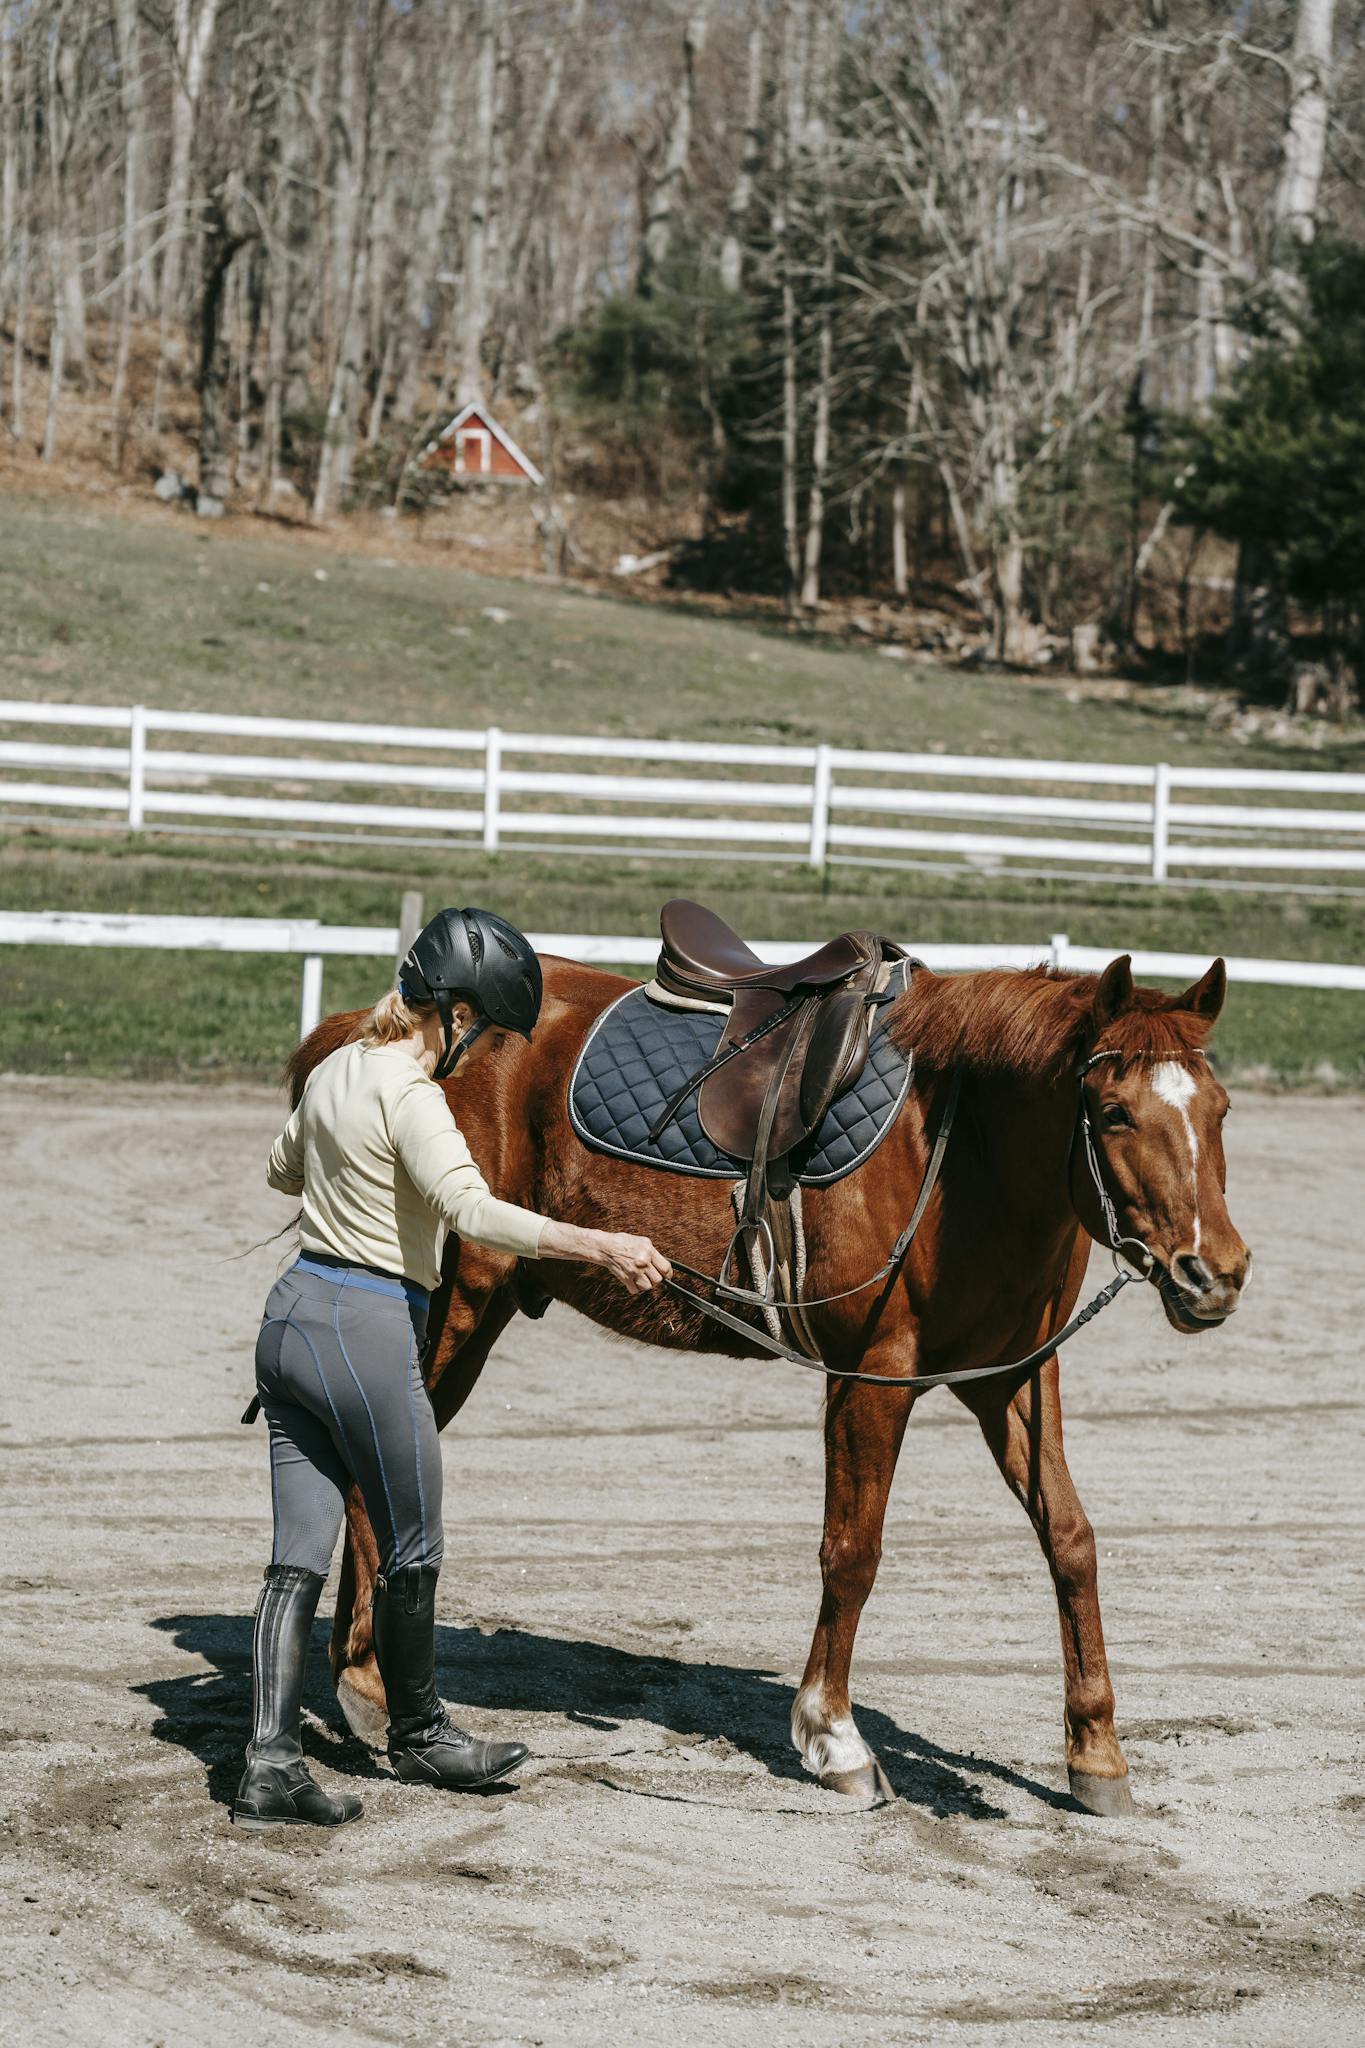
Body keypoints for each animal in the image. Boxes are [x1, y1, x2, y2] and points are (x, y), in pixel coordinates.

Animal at [284, 946, 1250, 1813]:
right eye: (1113, 1112)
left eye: (1220, 1109)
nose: (1215, 1273)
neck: (959, 1147)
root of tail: (373, 1036)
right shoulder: (871, 1379)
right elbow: (852, 1552)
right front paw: (833, 1738)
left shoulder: (1012, 1377)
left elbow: (1071, 1541)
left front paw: (1096, 1753)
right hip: (448, 1305)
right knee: (379, 1470)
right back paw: (366, 1685)